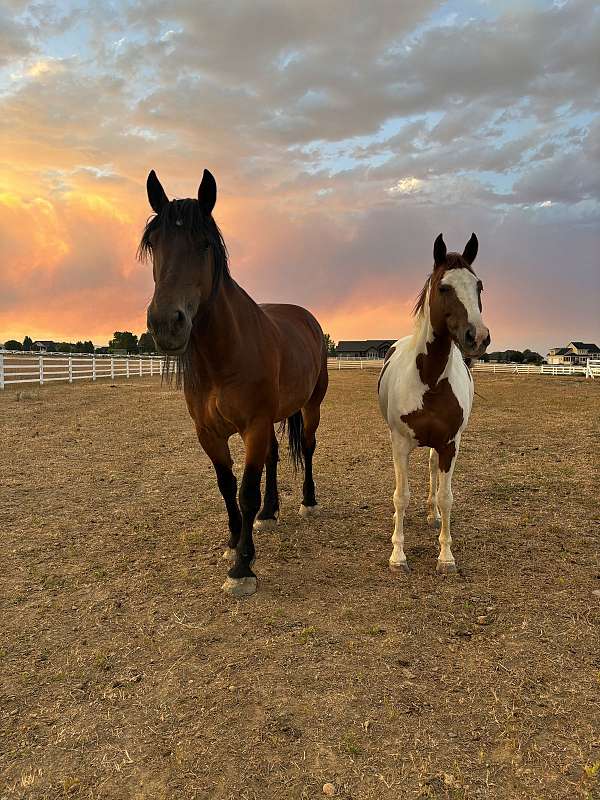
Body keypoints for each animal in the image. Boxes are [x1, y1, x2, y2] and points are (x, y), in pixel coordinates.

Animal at [140, 169, 328, 598]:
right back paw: (269, 513)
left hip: (310, 406)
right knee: (274, 457)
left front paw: (243, 566)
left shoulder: (253, 427)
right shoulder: (208, 432)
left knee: (307, 447)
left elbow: (245, 491)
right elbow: (227, 486)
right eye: (153, 243)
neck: (223, 356)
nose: (166, 323)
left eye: (204, 243)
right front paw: (234, 541)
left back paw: (307, 501)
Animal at [378, 233, 490, 574]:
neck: (429, 378)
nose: (478, 337)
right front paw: (398, 556)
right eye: (444, 287)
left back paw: (432, 515)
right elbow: (400, 497)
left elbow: (446, 497)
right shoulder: (400, 443)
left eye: (479, 286)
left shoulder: (450, 444)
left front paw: (446, 556)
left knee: (431, 470)